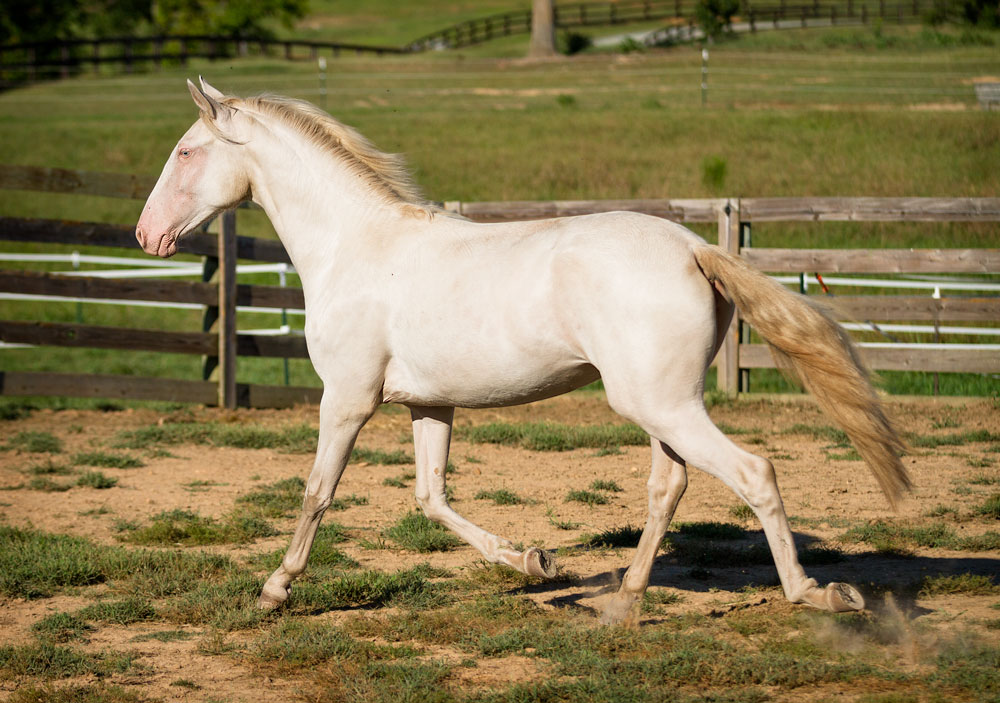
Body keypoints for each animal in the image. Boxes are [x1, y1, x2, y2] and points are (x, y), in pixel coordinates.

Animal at [137, 78, 912, 628]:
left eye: (185, 152)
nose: (147, 235)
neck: (354, 248)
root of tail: (694, 247)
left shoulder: (348, 398)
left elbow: (317, 491)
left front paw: (274, 590)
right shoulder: (429, 404)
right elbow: (431, 498)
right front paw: (533, 562)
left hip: (662, 404)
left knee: (754, 472)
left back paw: (819, 596)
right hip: (661, 406)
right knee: (668, 488)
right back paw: (621, 604)